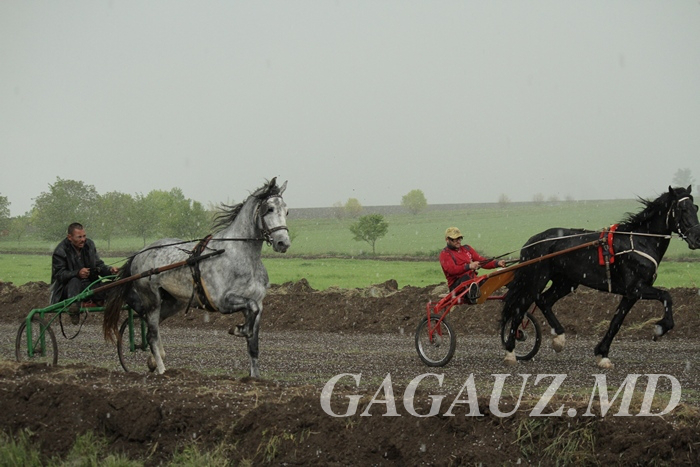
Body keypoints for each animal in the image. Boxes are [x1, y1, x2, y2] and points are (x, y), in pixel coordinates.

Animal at [104, 177, 290, 378]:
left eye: (286, 210)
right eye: (269, 208)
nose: (283, 243)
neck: (239, 255)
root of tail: (139, 253)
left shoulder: (258, 304)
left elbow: (253, 343)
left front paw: (255, 378)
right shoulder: (222, 301)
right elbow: (250, 311)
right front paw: (238, 329)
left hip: (173, 303)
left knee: (152, 330)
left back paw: (153, 361)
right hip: (152, 300)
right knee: (152, 334)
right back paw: (163, 371)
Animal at [504, 186, 700, 370]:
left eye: (695, 207)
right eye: (682, 209)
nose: (697, 238)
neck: (640, 241)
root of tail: (531, 241)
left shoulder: (631, 294)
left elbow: (616, 322)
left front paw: (602, 354)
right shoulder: (636, 287)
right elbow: (667, 296)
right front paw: (661, 327)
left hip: (566, 282)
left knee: (544, 300)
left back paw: (559, 338)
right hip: (535, 279)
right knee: (519, 309)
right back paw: (510, 352)